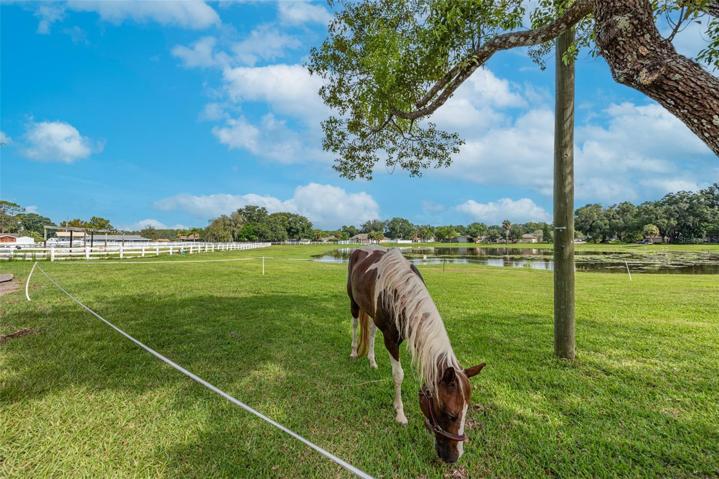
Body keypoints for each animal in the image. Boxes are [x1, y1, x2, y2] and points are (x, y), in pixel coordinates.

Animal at [346, 246, 485, 463]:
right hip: (353, 302)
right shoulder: (391, 340)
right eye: (449, 414)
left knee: (371, 331)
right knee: (354, 325)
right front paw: (400, 414)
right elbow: (398, 375)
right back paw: (353, 352)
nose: (454, 457)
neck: (398, 291)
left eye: (466, 411)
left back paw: (372, 361)